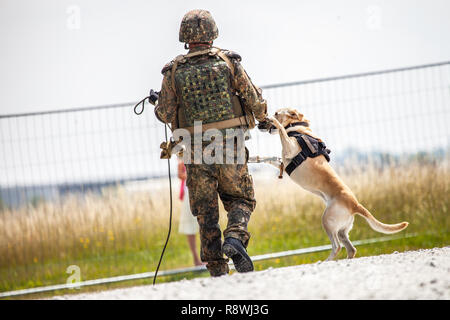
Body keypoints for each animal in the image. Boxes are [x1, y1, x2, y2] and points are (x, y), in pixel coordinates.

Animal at [268, 109, 410, 262]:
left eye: (276, 113)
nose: (263, 122)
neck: (298, 127)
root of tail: (355, 205)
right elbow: (275, 160)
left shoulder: (289, 146)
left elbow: (282, 130)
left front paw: (273, 121)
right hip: (342, 230)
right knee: (351, 249)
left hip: (327, 221)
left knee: (337, 246)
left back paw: (325, 261)